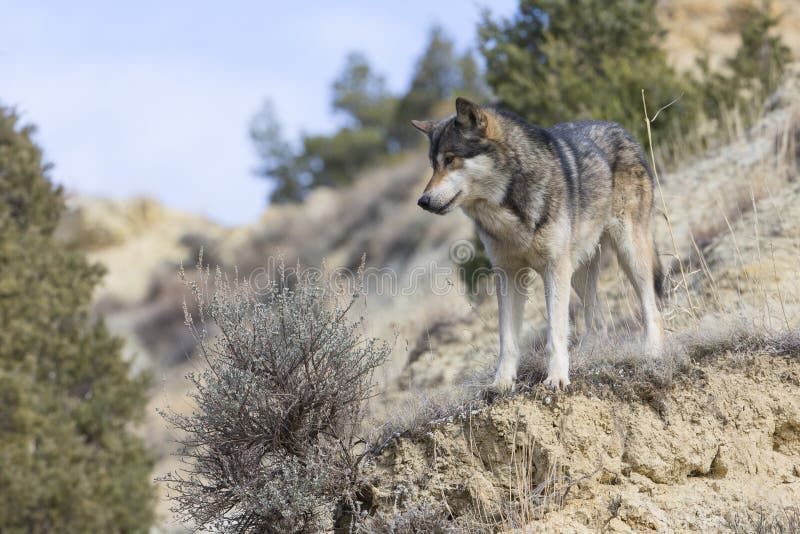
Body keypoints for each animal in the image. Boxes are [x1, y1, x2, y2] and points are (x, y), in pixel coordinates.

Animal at [412, 97, 664, 391]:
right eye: (433, 165)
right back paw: (589, 354)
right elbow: (507, 339)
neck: (508, 211)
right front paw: (502, 382)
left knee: (651, 306)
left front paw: (556, 377)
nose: (423, 201)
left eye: (451, 159)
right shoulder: (508, 275)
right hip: (578, 272)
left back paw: (652, 351)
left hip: (627, 252)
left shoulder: (553, 269)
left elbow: (555, 332)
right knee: (598, 319)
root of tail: (620, 128)